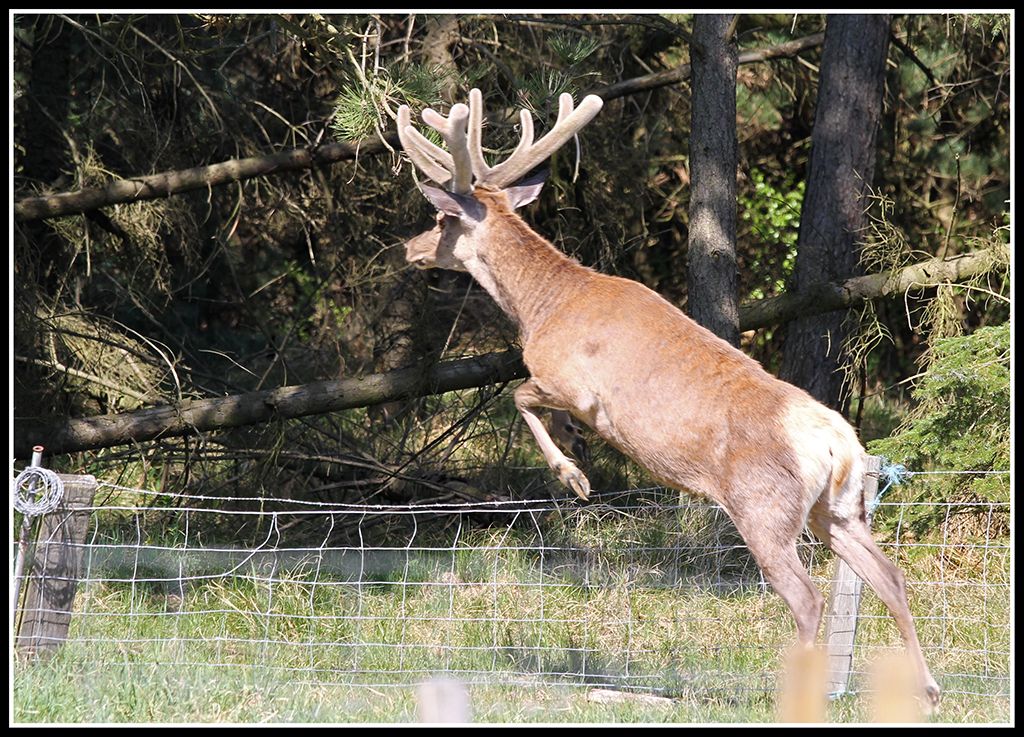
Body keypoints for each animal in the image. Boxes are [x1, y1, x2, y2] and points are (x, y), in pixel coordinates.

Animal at [395, 88, 937, 712]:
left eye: (441, 217)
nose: (409, 248)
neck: (543, 307)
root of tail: (839, 446)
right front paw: (574, 450)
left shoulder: (570, 380)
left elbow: (518, 395)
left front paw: (574, 475)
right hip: (840, 510)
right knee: (890, 576)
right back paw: (928, 691)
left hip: (764, 508)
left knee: (807, 597)